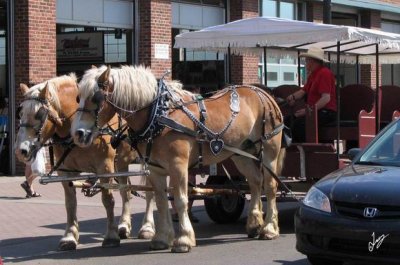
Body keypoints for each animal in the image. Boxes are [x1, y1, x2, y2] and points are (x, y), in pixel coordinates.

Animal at [13, 74, 152, 250]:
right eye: (20, 113)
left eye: (40, 113)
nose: (21, 151)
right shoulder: (65, 171)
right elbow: (70, 203)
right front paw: (70, 236)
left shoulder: (105, 166)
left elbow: (108, 200)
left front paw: (111, 236)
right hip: (121, 162)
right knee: (125, 191)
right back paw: (124, 226)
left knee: (150, 191)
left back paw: (147, 227)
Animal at [71, 64, 284, 252]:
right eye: (78, 97)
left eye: (96, 98)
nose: (78, 134)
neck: (158, 114)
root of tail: (263, 93)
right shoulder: (155, 168)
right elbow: (161, 201)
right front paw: (161, 238)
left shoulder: (178, 165)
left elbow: (181, 199)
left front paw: (183, 239)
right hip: (240, 153)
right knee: (255, 182)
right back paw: (254, 224)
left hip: (269, 149)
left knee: (270, 186)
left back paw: (269, 229)